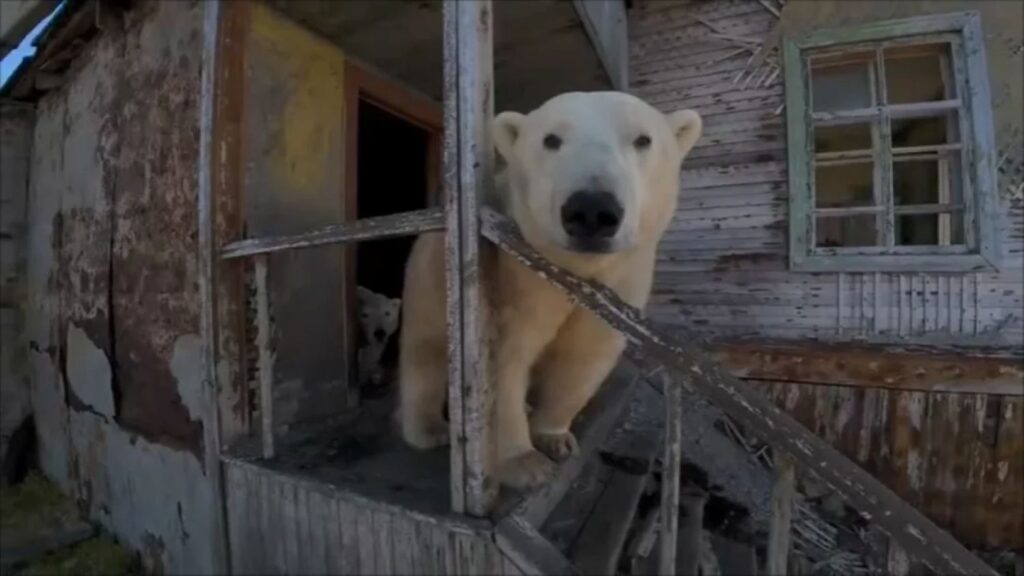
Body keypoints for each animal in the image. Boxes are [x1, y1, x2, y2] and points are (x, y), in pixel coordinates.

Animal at [397, 91, 702, 489]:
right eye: (551, 139)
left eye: (642, 139)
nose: (592, 210)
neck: (572, 269)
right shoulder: (512, 280)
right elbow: (500, 361)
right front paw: (525, 463)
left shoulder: (620, 283)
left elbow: (582, 357)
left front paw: (554, 438)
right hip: (429, 277)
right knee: (424, 352)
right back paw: (430, 429)